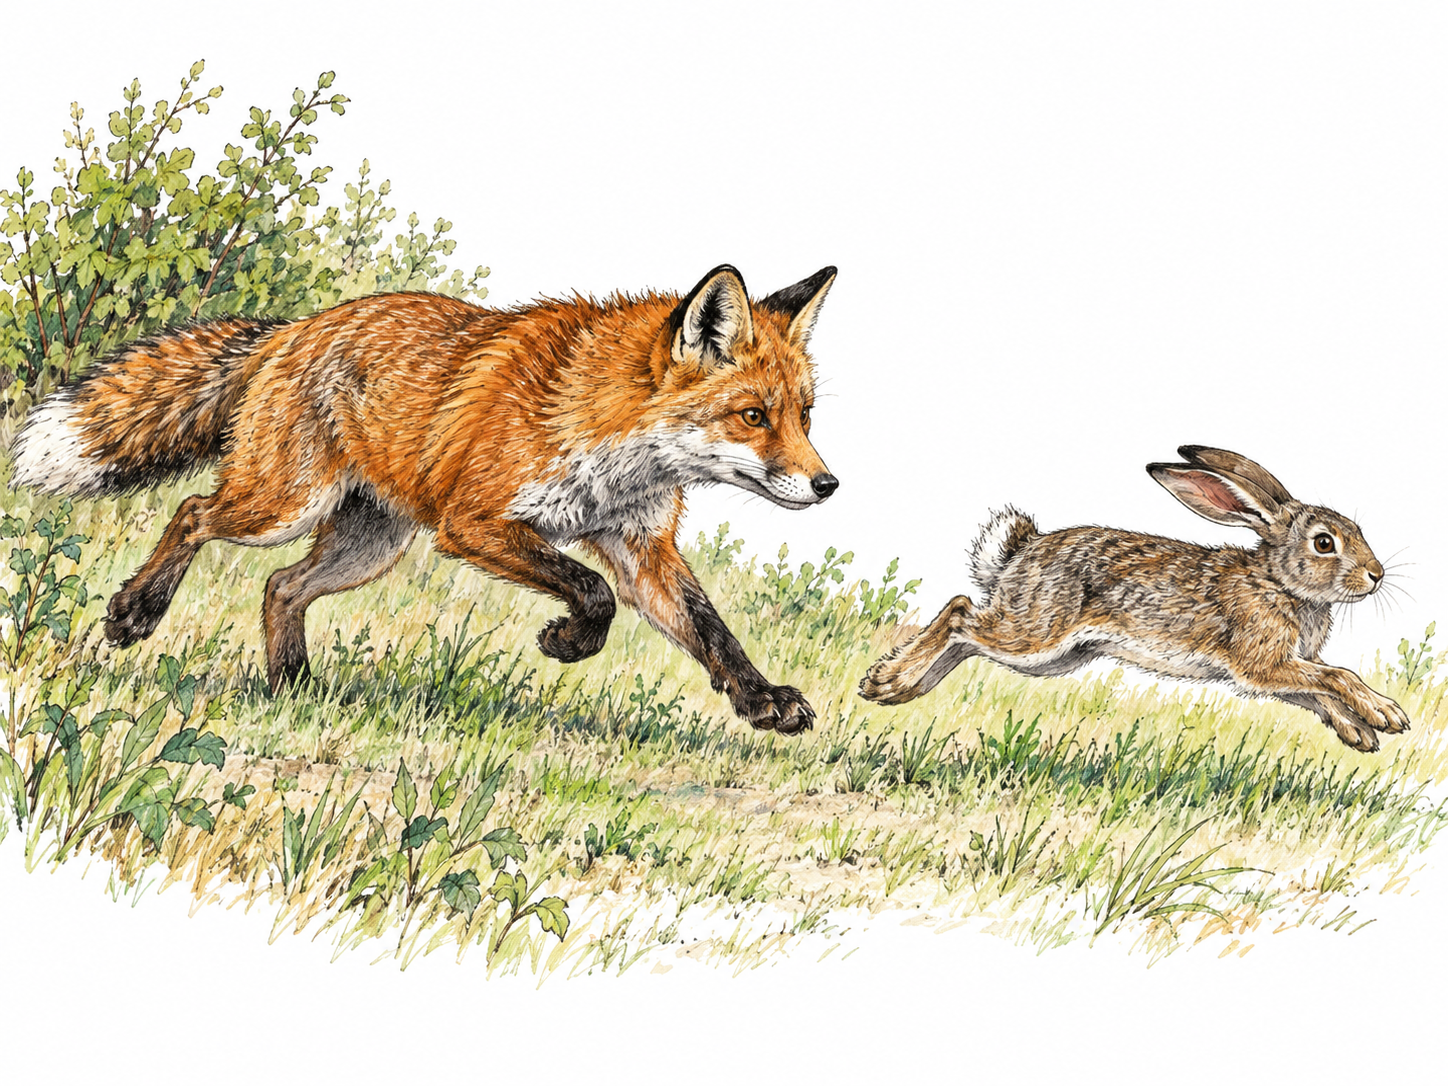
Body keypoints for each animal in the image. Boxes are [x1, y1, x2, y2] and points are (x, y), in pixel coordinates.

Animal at [9, 264, 840, 734]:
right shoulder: (474, 521)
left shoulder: (642, 548)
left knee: (280, 588)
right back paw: (136, 612)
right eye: (753, 416)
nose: (828, 485)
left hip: (368, 544)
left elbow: (712, 631)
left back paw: (294, 688)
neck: (607, 435)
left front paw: (762, 703)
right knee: (192, 515)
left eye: (804, 416)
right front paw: (566, 643)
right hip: (281, 506)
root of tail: (293, 329)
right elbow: (591, 591)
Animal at [858, 446, 1408, 752]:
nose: (1376, 575)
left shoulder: (1278, 672)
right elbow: (1337, 677)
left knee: (967, 632)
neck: (1278, 582)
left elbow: (1319, 692)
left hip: (1056, 657)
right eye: (1324, 543)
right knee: (959, 613)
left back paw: (900, 687)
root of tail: (1020, 553)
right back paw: (888, 680)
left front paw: (1361, 734)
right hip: (1036, 634)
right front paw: (1386, 715)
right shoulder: (1262, 663)